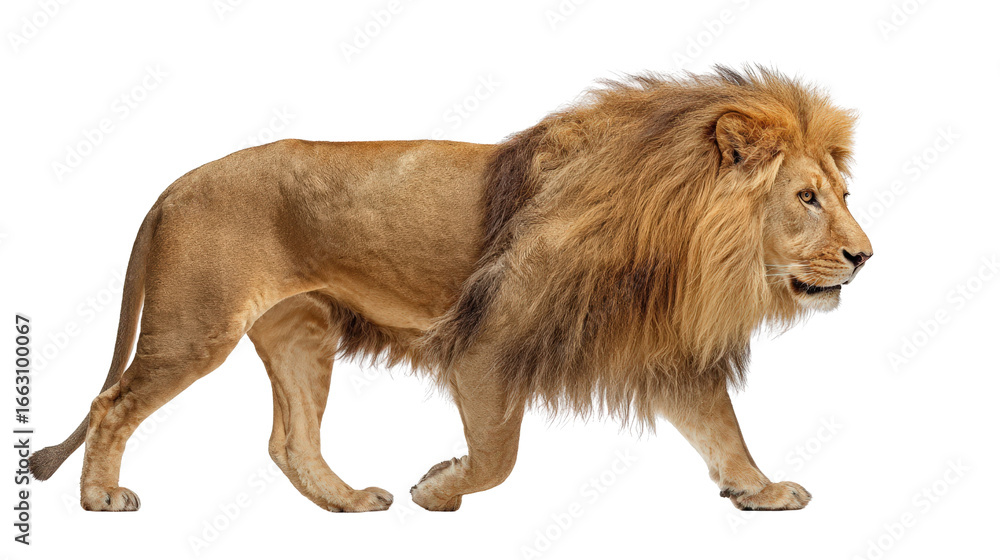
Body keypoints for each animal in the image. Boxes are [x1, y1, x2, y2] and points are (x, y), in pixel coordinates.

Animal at [29, 66, 871, 513]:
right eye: (806, 198)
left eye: (841, 193)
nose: (865, 257)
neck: (685, 245)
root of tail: (171, 186)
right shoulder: (488, 345)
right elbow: (498, 456)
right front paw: (439, 487)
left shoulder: (662, 350)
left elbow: (723, 429)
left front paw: (758, 492)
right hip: (196, 324)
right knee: (112, 404)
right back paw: (101, 500)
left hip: (301, 331)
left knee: (289, 439)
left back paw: (347, 503)